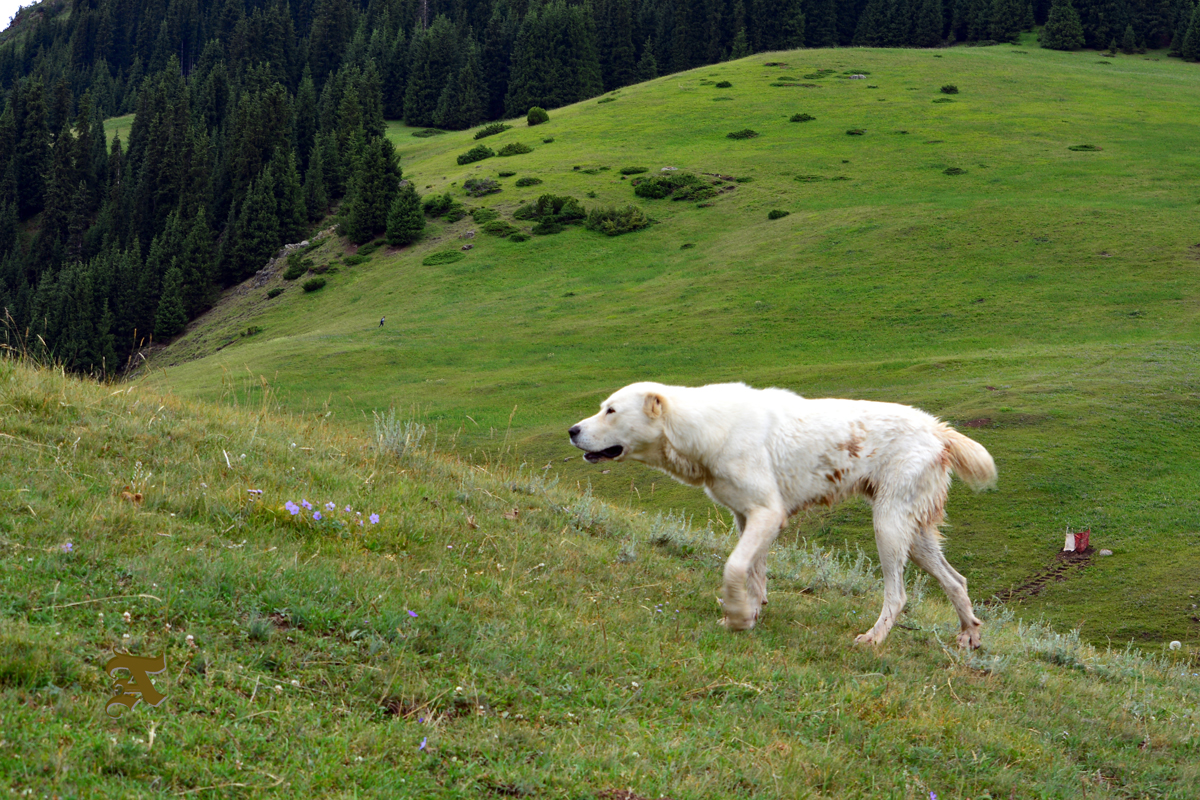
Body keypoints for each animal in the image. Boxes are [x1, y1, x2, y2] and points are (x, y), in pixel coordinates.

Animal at [566, 383, 998, 652]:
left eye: (611, 410)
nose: (572, 430)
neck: (703, 428)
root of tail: (939, 430)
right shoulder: (746, 517)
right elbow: (753, 573)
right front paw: (751, 612)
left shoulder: (767, 515)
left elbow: (733, 567)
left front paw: (737, 617)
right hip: (915, 535)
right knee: (956, 581)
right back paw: (970, 635)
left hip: (888, 526)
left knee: (899, 594)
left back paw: (874, 639)